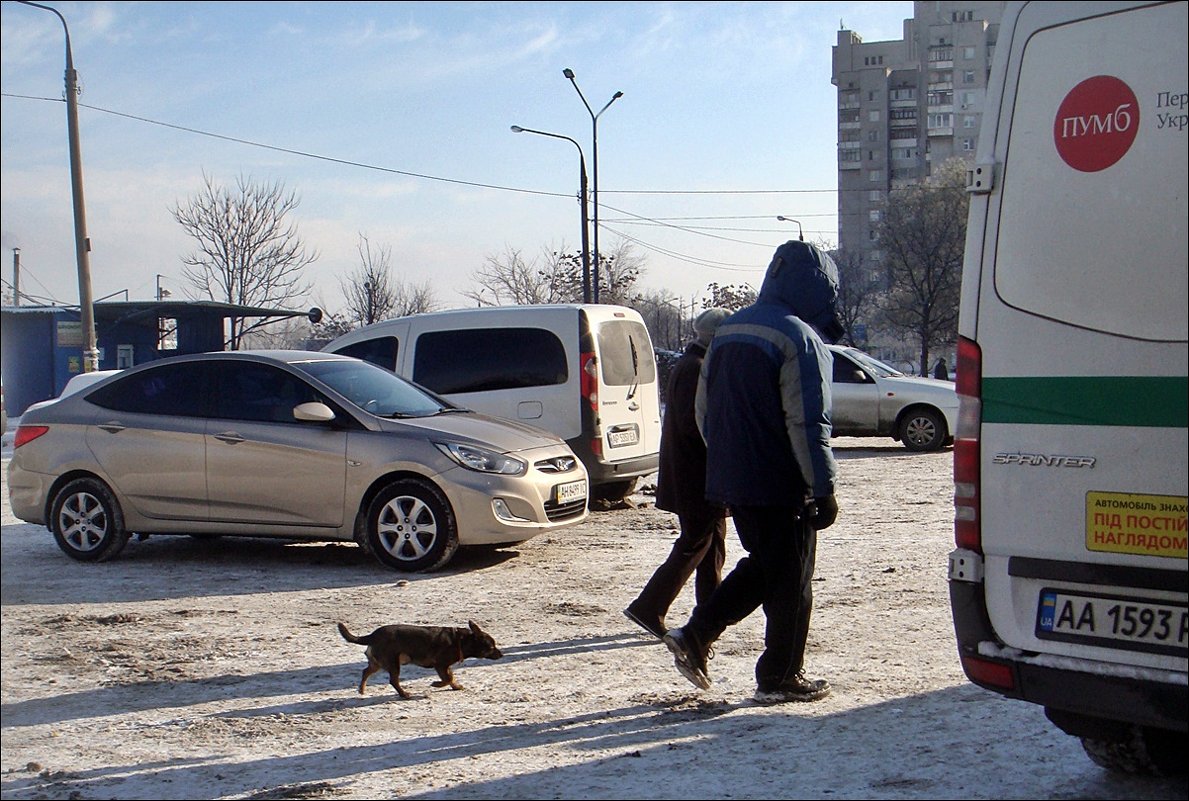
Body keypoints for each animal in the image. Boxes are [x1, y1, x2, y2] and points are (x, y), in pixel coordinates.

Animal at [337, 617, 504, 694]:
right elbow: (448, 678)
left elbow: (451, 677)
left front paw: (455, 686)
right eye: (491, 647)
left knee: (365, 672)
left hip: (377, 663)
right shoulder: (440, 665)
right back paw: (404, 694)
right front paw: (437, 684)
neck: (461, 640)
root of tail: (372, 636)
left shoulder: (445, 667)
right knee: (393, 681)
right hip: (392, 663)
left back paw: (362, 689)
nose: (501, 654)